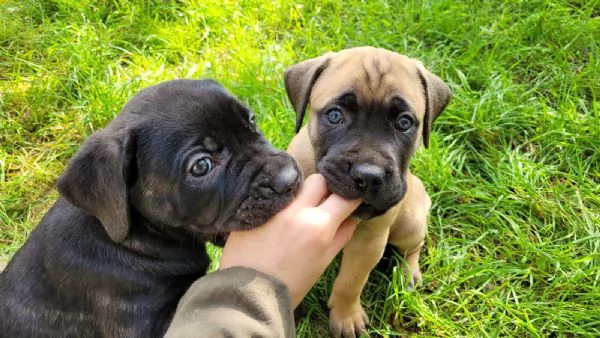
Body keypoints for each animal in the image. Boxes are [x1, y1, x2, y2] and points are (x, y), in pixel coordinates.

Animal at [286, 46, 450, 336]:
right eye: (335, 115)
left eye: (404, 122)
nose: (368, 176)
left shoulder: (369, 241)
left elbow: (350, 282)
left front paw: (346, 317)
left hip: (409, 225)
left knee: (412, 248)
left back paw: (408, 273)